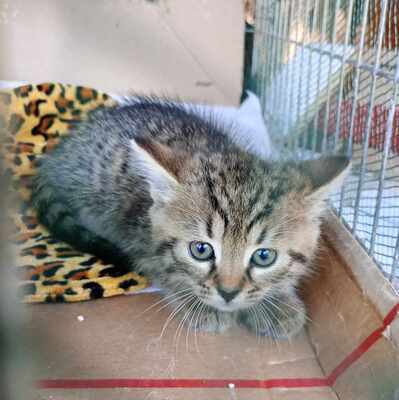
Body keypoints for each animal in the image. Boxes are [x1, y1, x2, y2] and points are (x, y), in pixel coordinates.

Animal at [32, 97, 350, 338]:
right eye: (200, 250)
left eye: (264, 256)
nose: (228, 293)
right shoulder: (136, 238)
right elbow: (166, 271)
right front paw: (200, 304)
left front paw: (276, 302)